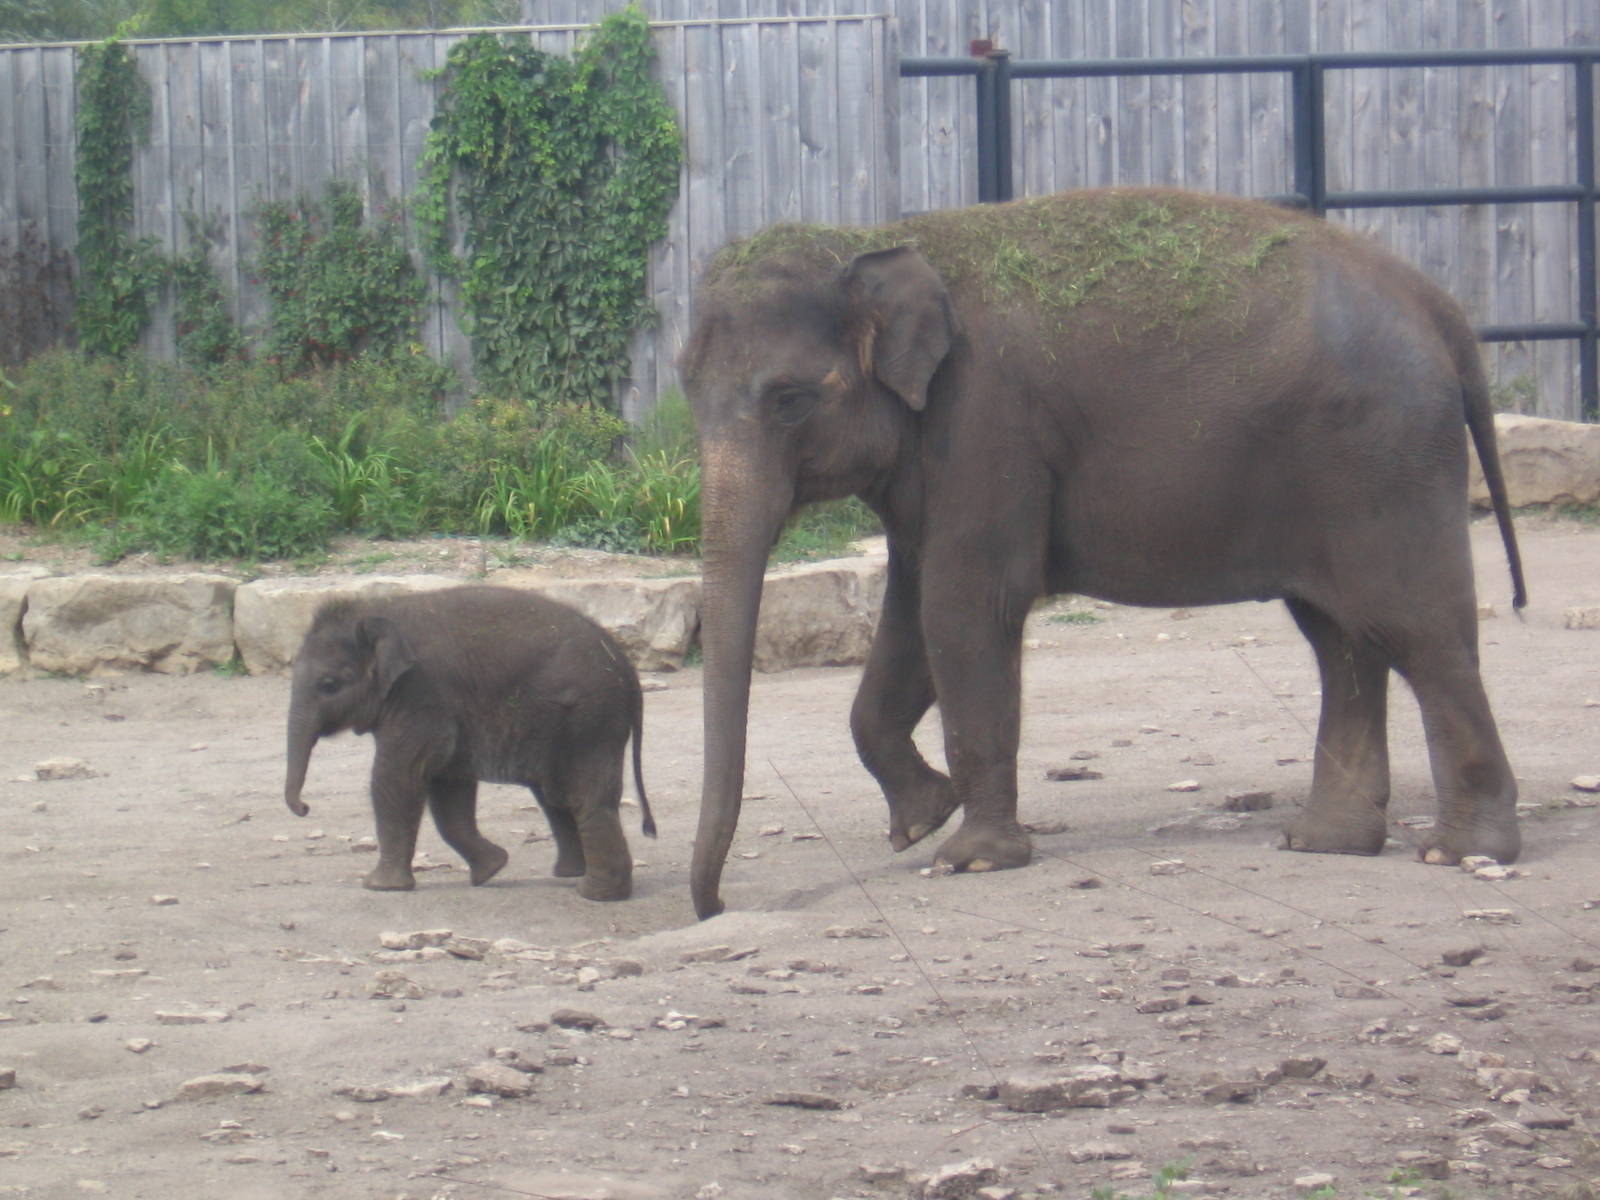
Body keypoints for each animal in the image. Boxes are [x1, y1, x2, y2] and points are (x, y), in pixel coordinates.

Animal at [283, 586, 655, 900]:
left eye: (329, 684)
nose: (305, 808)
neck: (379, 609)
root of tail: (627, 667)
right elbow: (447, 784)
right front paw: (492, 869)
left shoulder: (421, 695)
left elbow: (398, 776)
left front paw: (379, 888)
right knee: (555, 795)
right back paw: (570, 874)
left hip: (588, 722)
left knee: (584, 797)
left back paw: (594, 894)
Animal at [680, 186, 1525, 920]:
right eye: (686, 388)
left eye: (789, 401)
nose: (714, 907)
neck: (875, 243)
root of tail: (1439, 306)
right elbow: (911, 619)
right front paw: (922, 820)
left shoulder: (984, 421)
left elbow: (964, 608)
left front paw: (969, 859)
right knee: (1340, 640)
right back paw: (1325, 844)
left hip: (1386, 460)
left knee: (1415, 632)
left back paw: (1461, 853)